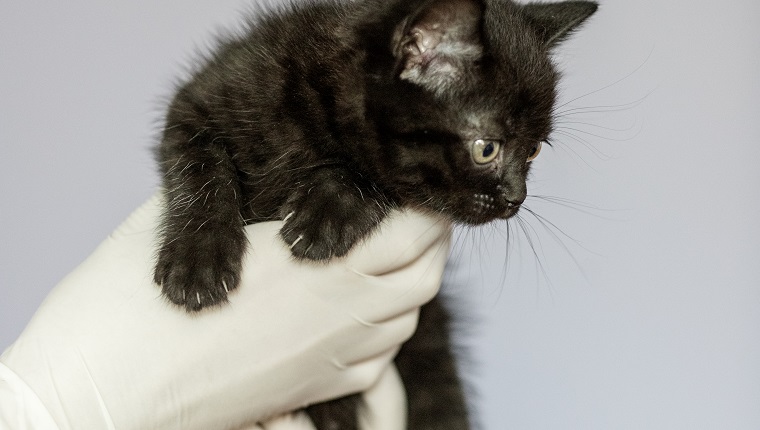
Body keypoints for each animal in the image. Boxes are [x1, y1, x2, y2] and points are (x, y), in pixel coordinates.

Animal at [153, 0, 592, 426]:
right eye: (487, 149)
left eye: (534, 150)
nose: (517, 198)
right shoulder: (200, 100)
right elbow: (202, 166)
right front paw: (198, 263)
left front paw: (328, 212)